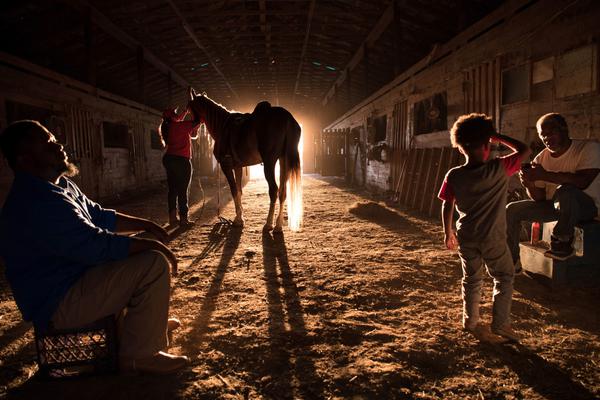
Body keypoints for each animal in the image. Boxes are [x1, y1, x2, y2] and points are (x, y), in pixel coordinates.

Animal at [188, 87, 302, 231]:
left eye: (189, 107)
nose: (192, 133)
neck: (222, 126)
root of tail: (287, 117)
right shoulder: (237, 167)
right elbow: (239, 191)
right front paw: (240, 218)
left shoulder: (226, 166)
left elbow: (233, 190)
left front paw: (238, 219)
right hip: (283, 160)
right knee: (282, 191)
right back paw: (278, 225)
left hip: (270, 162)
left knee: (273, 190)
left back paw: (268, 223)